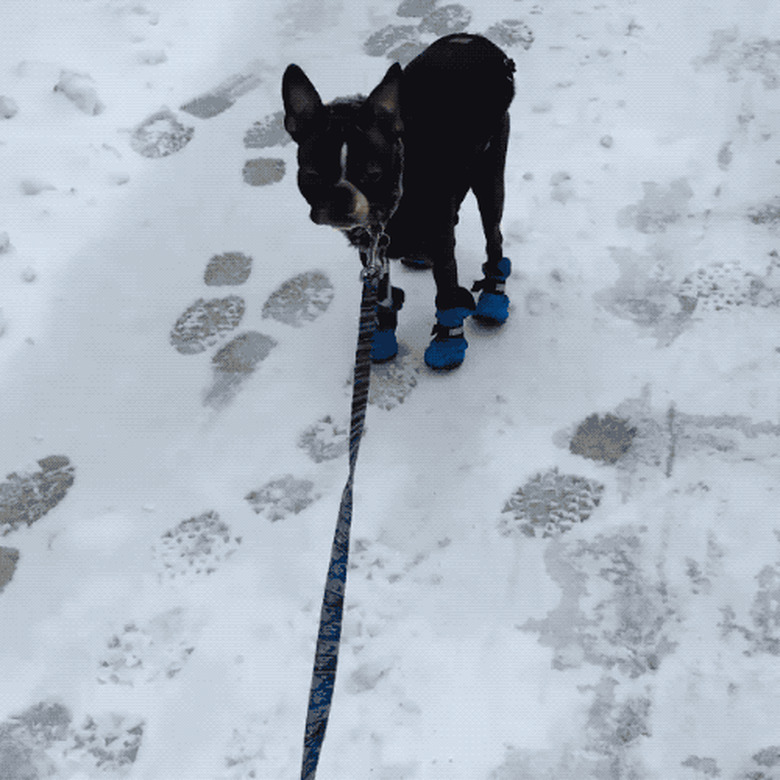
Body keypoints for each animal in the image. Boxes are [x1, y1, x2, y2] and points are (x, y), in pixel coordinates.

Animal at [284, 33, 516, 368]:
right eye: (312, 176)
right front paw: (379, 335)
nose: (340, 196)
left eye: (373, 174)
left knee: (493, 236)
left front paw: (448, 342)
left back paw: (492, 294)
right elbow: (382, 295)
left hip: (490, 173)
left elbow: (447, 293)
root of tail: (473, 39)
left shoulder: (441, 247)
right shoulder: (370, 251)